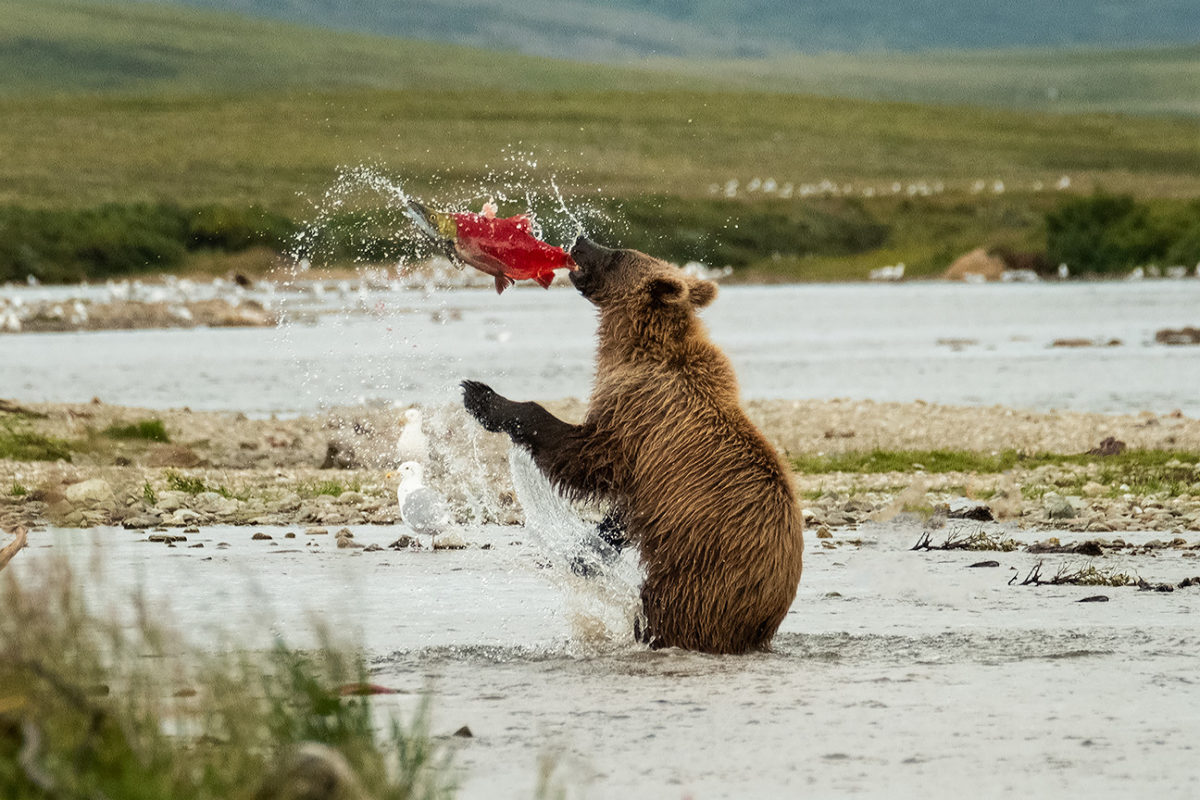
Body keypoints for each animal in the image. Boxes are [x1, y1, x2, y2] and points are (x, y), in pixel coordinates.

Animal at [461, 237, 804, 655]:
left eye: (619, 254)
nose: (581, 241)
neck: (634, 348)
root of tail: (765, 618)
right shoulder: (648, 468)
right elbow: (622, 510)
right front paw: (586, 552)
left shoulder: (636, 416)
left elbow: (586, 458)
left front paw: (482, 396)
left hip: (702, 577)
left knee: (669, 611)